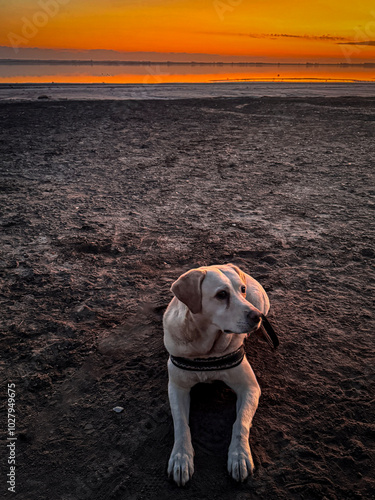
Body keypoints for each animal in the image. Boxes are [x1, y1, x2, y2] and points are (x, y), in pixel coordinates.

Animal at [163, 262, 278, 484]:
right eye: (221, 294)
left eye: (241, 290)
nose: (257, 317)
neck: (207, 350)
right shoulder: (177, 387)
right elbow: (181, 424)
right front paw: (181, 458)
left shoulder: (249, 387)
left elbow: (240, 423)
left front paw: (239, 456)